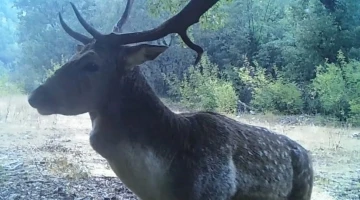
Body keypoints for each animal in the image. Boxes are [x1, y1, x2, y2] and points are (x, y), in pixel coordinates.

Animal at [27, 0, 312, 199]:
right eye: (74, 55)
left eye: (92, 64)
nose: (34, 96)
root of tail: (307, 154)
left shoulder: (214, 191)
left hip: (304, 191)